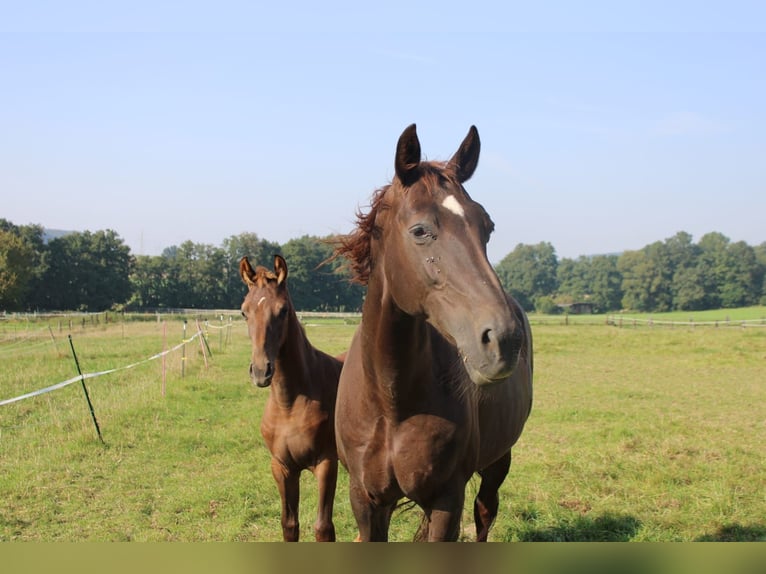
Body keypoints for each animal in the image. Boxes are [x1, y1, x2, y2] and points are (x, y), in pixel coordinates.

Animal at [238, 256, 344, 544]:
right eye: (244, 312)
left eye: (283, 310)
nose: (261, 371)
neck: (290, 405)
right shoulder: (282, 467)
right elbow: (289, 524)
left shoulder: (326, 464)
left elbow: (323, 528)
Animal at [332, 124, 536, 544]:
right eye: (420, 230)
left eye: (487, 226)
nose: (504, 339)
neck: (392, 402)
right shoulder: (366, 500)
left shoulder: (446, 500)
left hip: (498, 460)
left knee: (485, 512)